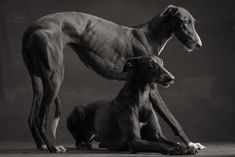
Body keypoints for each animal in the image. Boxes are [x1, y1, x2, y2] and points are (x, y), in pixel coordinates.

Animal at [67, 56, 197, 155]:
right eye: (150, 63)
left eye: (162, 62)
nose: (171, 78)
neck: (141, 100)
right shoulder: (134, 140)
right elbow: (158, 144)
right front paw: (176, 149)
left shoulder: (156, 135)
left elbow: (167, 141)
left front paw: (186, 147)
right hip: (79, 110)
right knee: (78, 140)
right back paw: (84, 145)